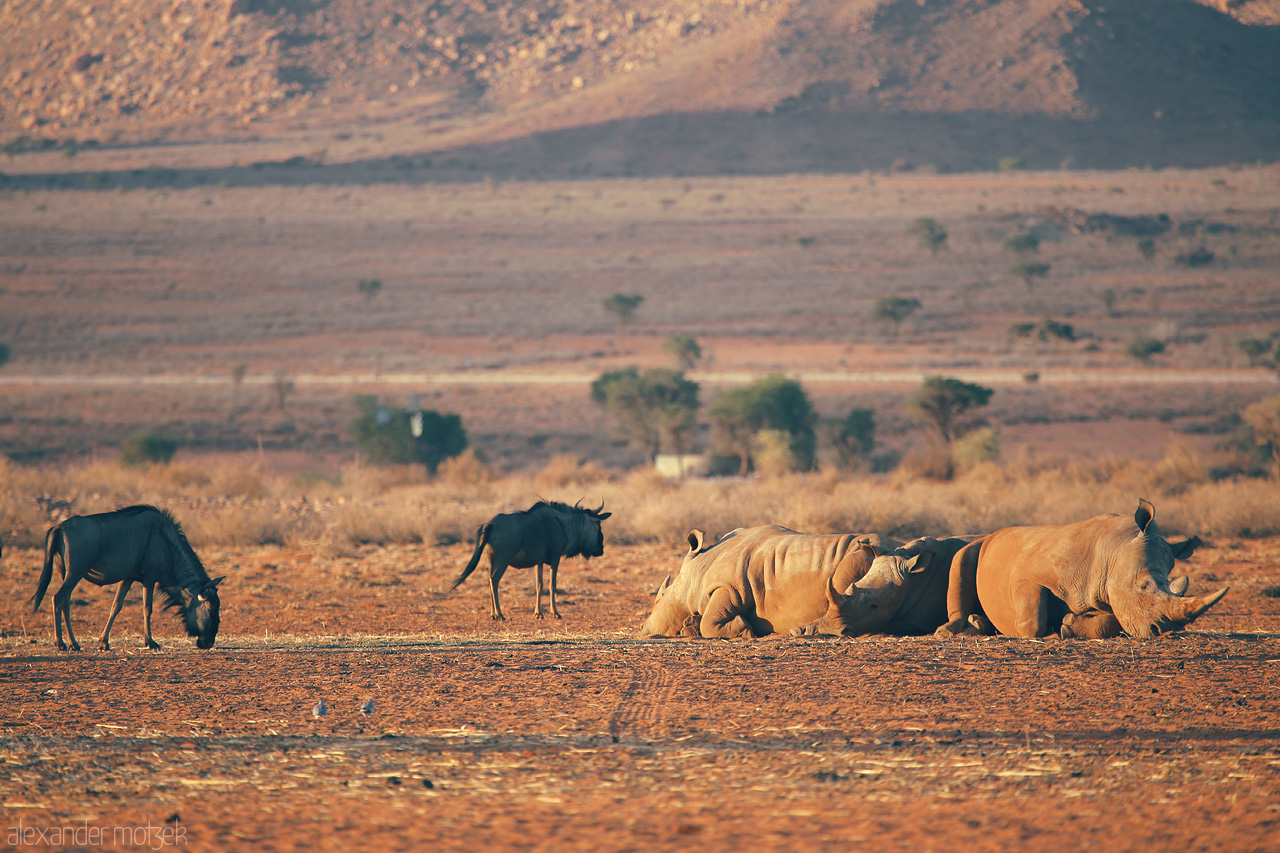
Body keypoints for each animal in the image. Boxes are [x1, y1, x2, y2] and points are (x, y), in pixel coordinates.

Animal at [638, 525, 901, 639]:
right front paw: (689, 625)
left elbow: (709, 624)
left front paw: (744, 628)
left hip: (862, 555)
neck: (698, 568)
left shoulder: (731, 588)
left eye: (660, 598)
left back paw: (805, 632)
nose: (644, 630)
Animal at [935, 500, 1227, 640]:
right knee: (962, 557)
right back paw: (951, 631)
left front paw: (1067, 626)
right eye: (1143, 587)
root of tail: (994, 534)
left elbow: (1109, 622)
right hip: (979, 544)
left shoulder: (1107, 594)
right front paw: (1053, 628)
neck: (1115, 549)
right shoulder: (1032, 575)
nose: (1164, 632)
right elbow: (1032, 621)